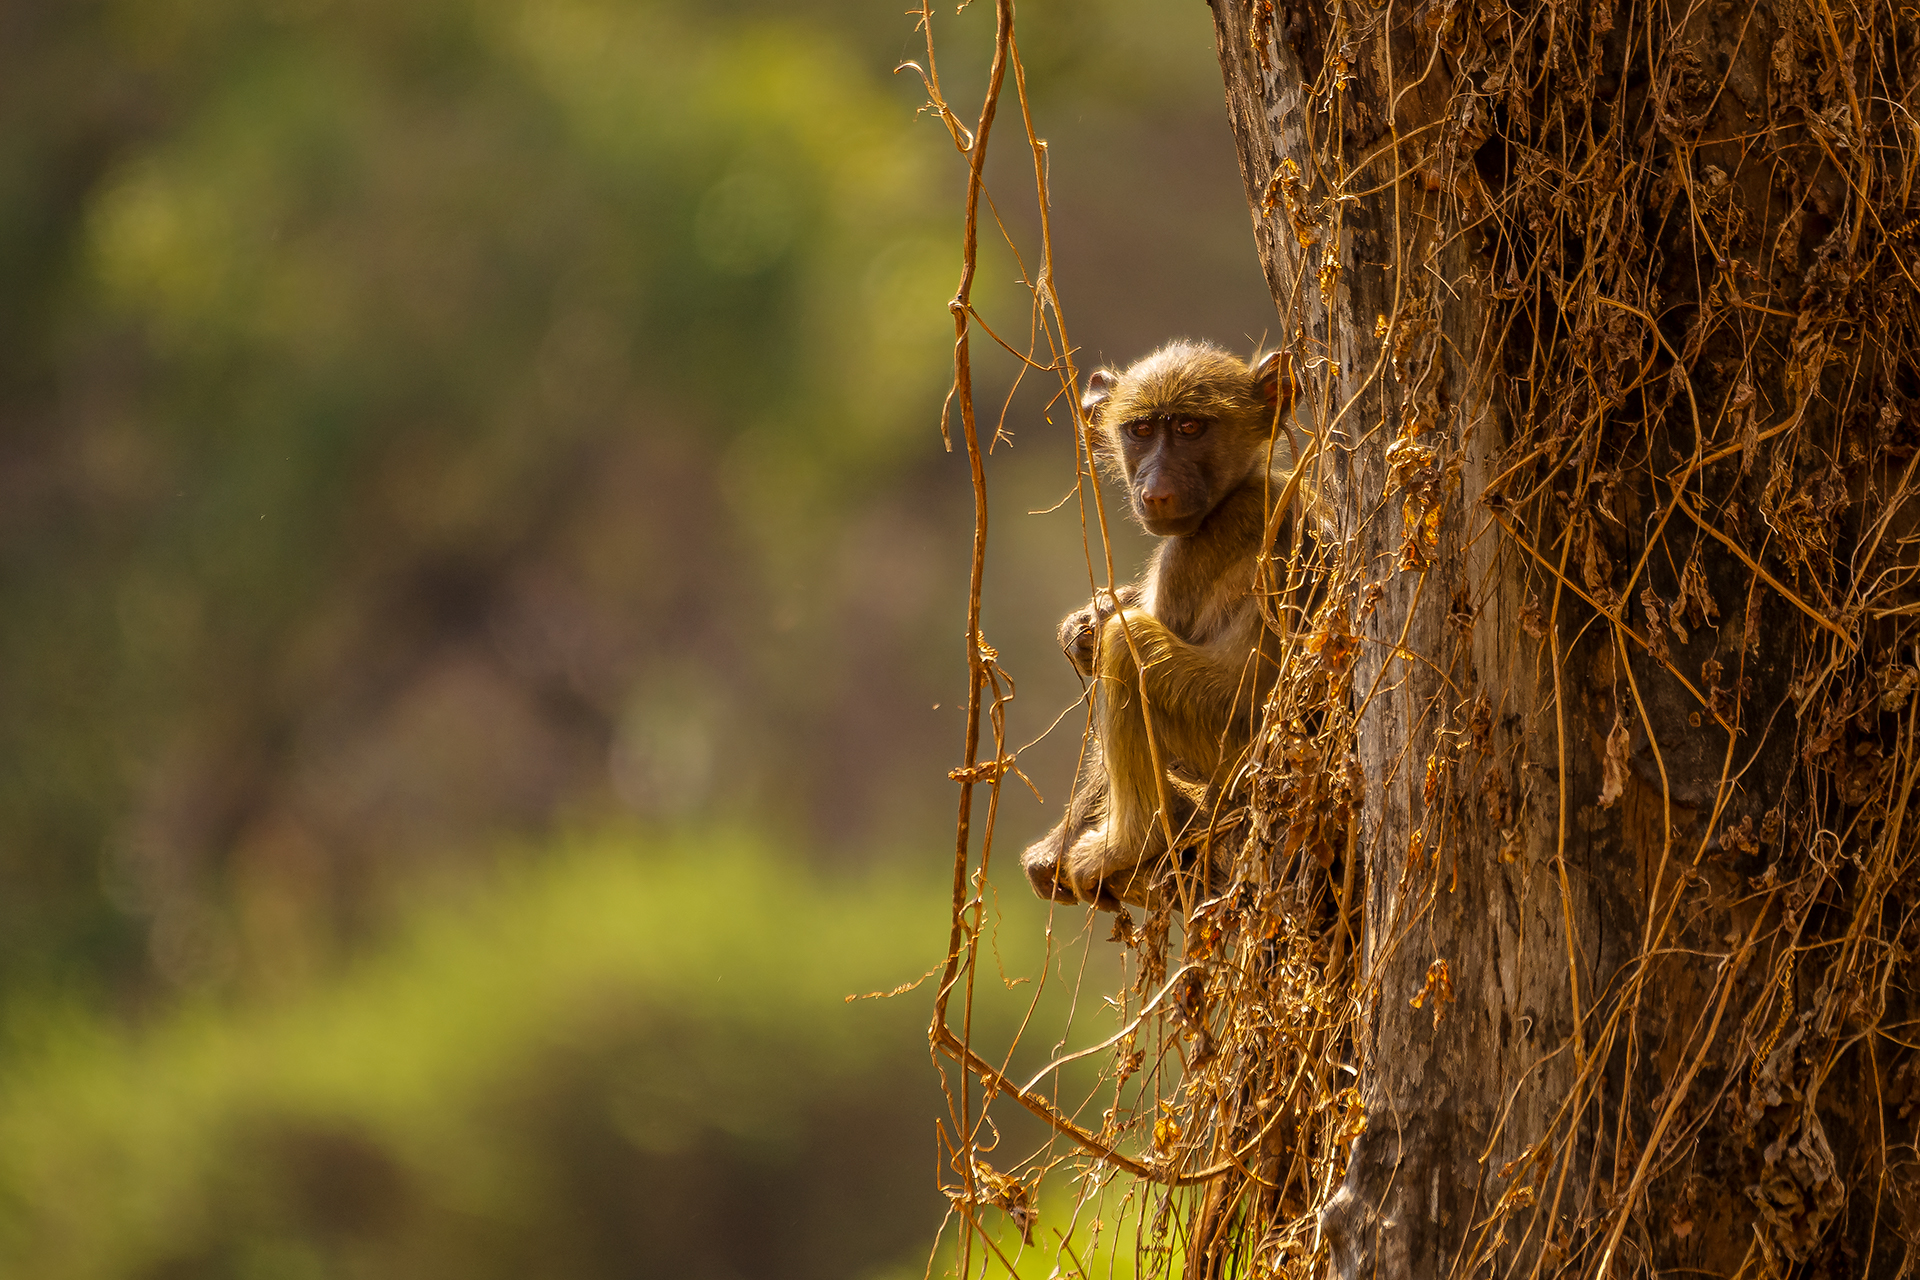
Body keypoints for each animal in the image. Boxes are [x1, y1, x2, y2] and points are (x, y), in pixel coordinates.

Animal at [1022, 341, 1300, 909]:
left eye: (1191, 427)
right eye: (1142, 430)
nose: (1156, 492)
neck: (1240, 487)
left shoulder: (1185, 557)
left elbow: (1136, 630)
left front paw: (1056, 849)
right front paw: (1085, 623)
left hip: (1225, 743)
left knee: (1129, 645)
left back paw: (1137, 837)